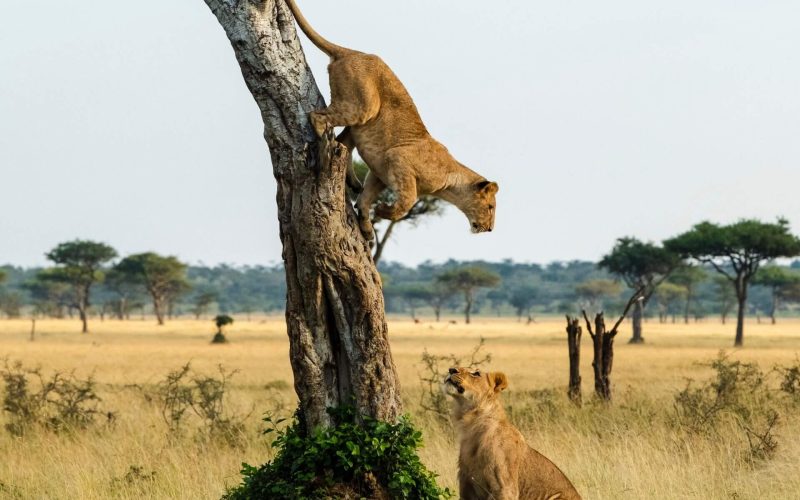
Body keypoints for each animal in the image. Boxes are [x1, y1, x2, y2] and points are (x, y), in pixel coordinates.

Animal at [284, 0, 499, 241]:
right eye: (490, 207)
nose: (490, 228)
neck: (450, 181)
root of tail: (351, 52)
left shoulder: (381, 171)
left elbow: (367, 196)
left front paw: (367, 225)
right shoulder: (397, 158)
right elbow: (408, 201)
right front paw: (382, 211)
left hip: (360, 121)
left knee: (344, 141)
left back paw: (352, 181)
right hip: (364, 107)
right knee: (317, 116)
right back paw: (324, 148)